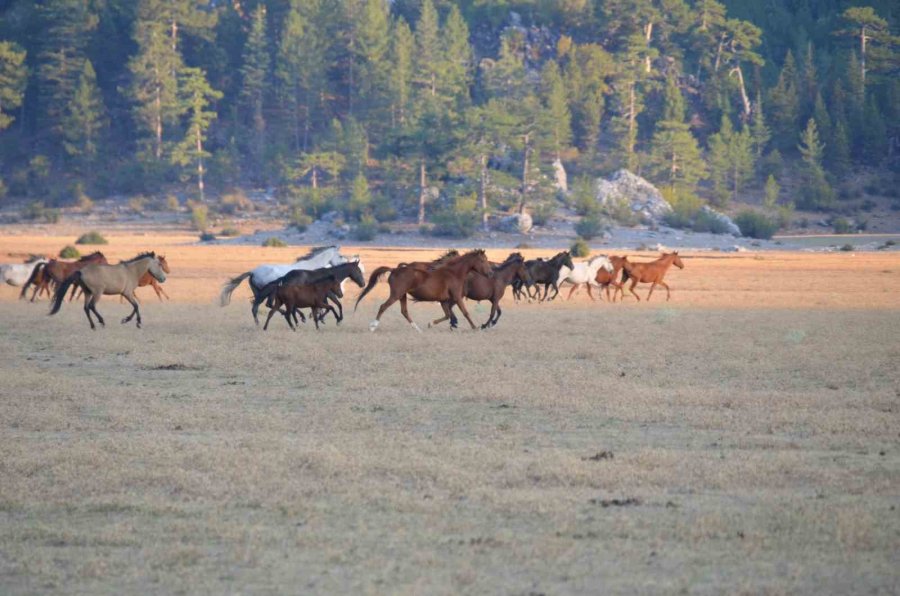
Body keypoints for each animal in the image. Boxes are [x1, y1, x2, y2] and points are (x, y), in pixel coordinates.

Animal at [218, 244, 356, 324]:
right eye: (341, 255)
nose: (347, 262)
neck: (311, 268)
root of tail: (252, 272)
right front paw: (313, 317)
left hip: (259, 294)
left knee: (256, 307)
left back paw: (258, 324)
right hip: (267, 293)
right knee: (267, 305)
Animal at [356, 247, 492, 330]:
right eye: (482, 260)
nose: (490, 273)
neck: (454, 273)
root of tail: (394, 270)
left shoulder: (443, 301)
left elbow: (448, 315)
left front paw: (430, 324)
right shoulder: (457, 297)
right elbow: (465, 313)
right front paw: (475, 328)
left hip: (402, 295)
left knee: (404, 311)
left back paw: (417, 329)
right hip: (396, 294)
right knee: (383, 306)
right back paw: (373, 326)